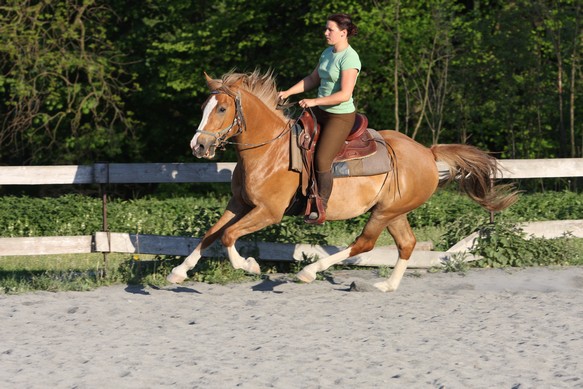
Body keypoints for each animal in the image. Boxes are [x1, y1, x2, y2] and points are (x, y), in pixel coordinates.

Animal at [167, 70, 516, 292]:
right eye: (204, 107)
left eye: (223, 108)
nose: (198, 146)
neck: (269, 151)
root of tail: (428, 153)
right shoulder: (238, 204)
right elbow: (211, 233)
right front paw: (179, 272)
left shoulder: (268, 212)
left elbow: (228, 237)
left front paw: (250, 266)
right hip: (394, 212)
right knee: (406, 244)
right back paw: (386, 285)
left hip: (383, 213)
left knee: (364, 244)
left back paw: (309, 272)